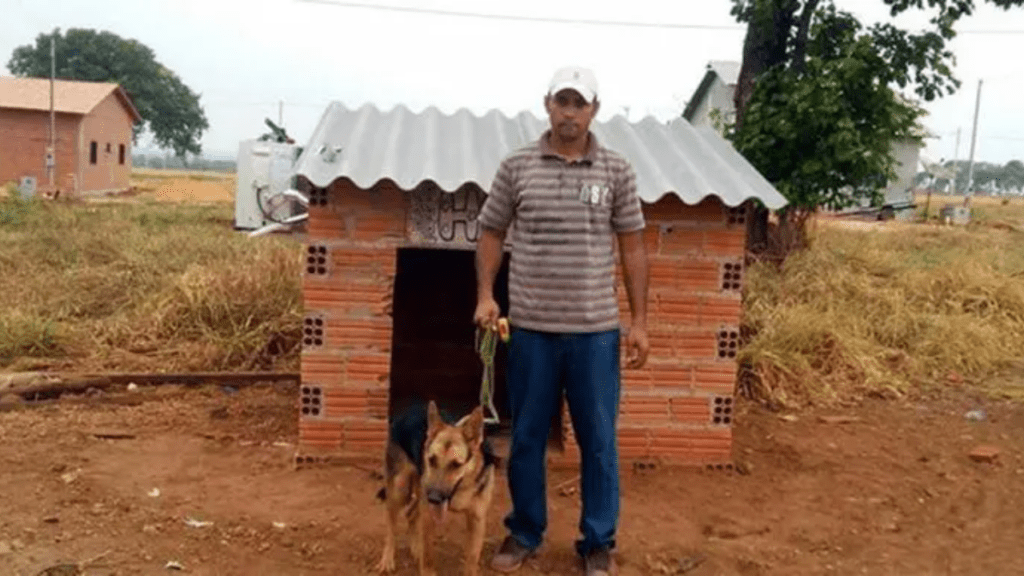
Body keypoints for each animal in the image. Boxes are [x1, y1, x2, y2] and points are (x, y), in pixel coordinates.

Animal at [378, 399, 501, 573]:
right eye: (431, 460)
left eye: (456, 465)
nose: (434, 498)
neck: (463, 488)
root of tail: (408, 411)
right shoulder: (429, 514)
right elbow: (428, 558)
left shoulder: (477, 520)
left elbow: (471, 559)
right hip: (401, 490)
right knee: (391, 526)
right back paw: (387, 559)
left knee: (411, 515)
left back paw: (415, 548)